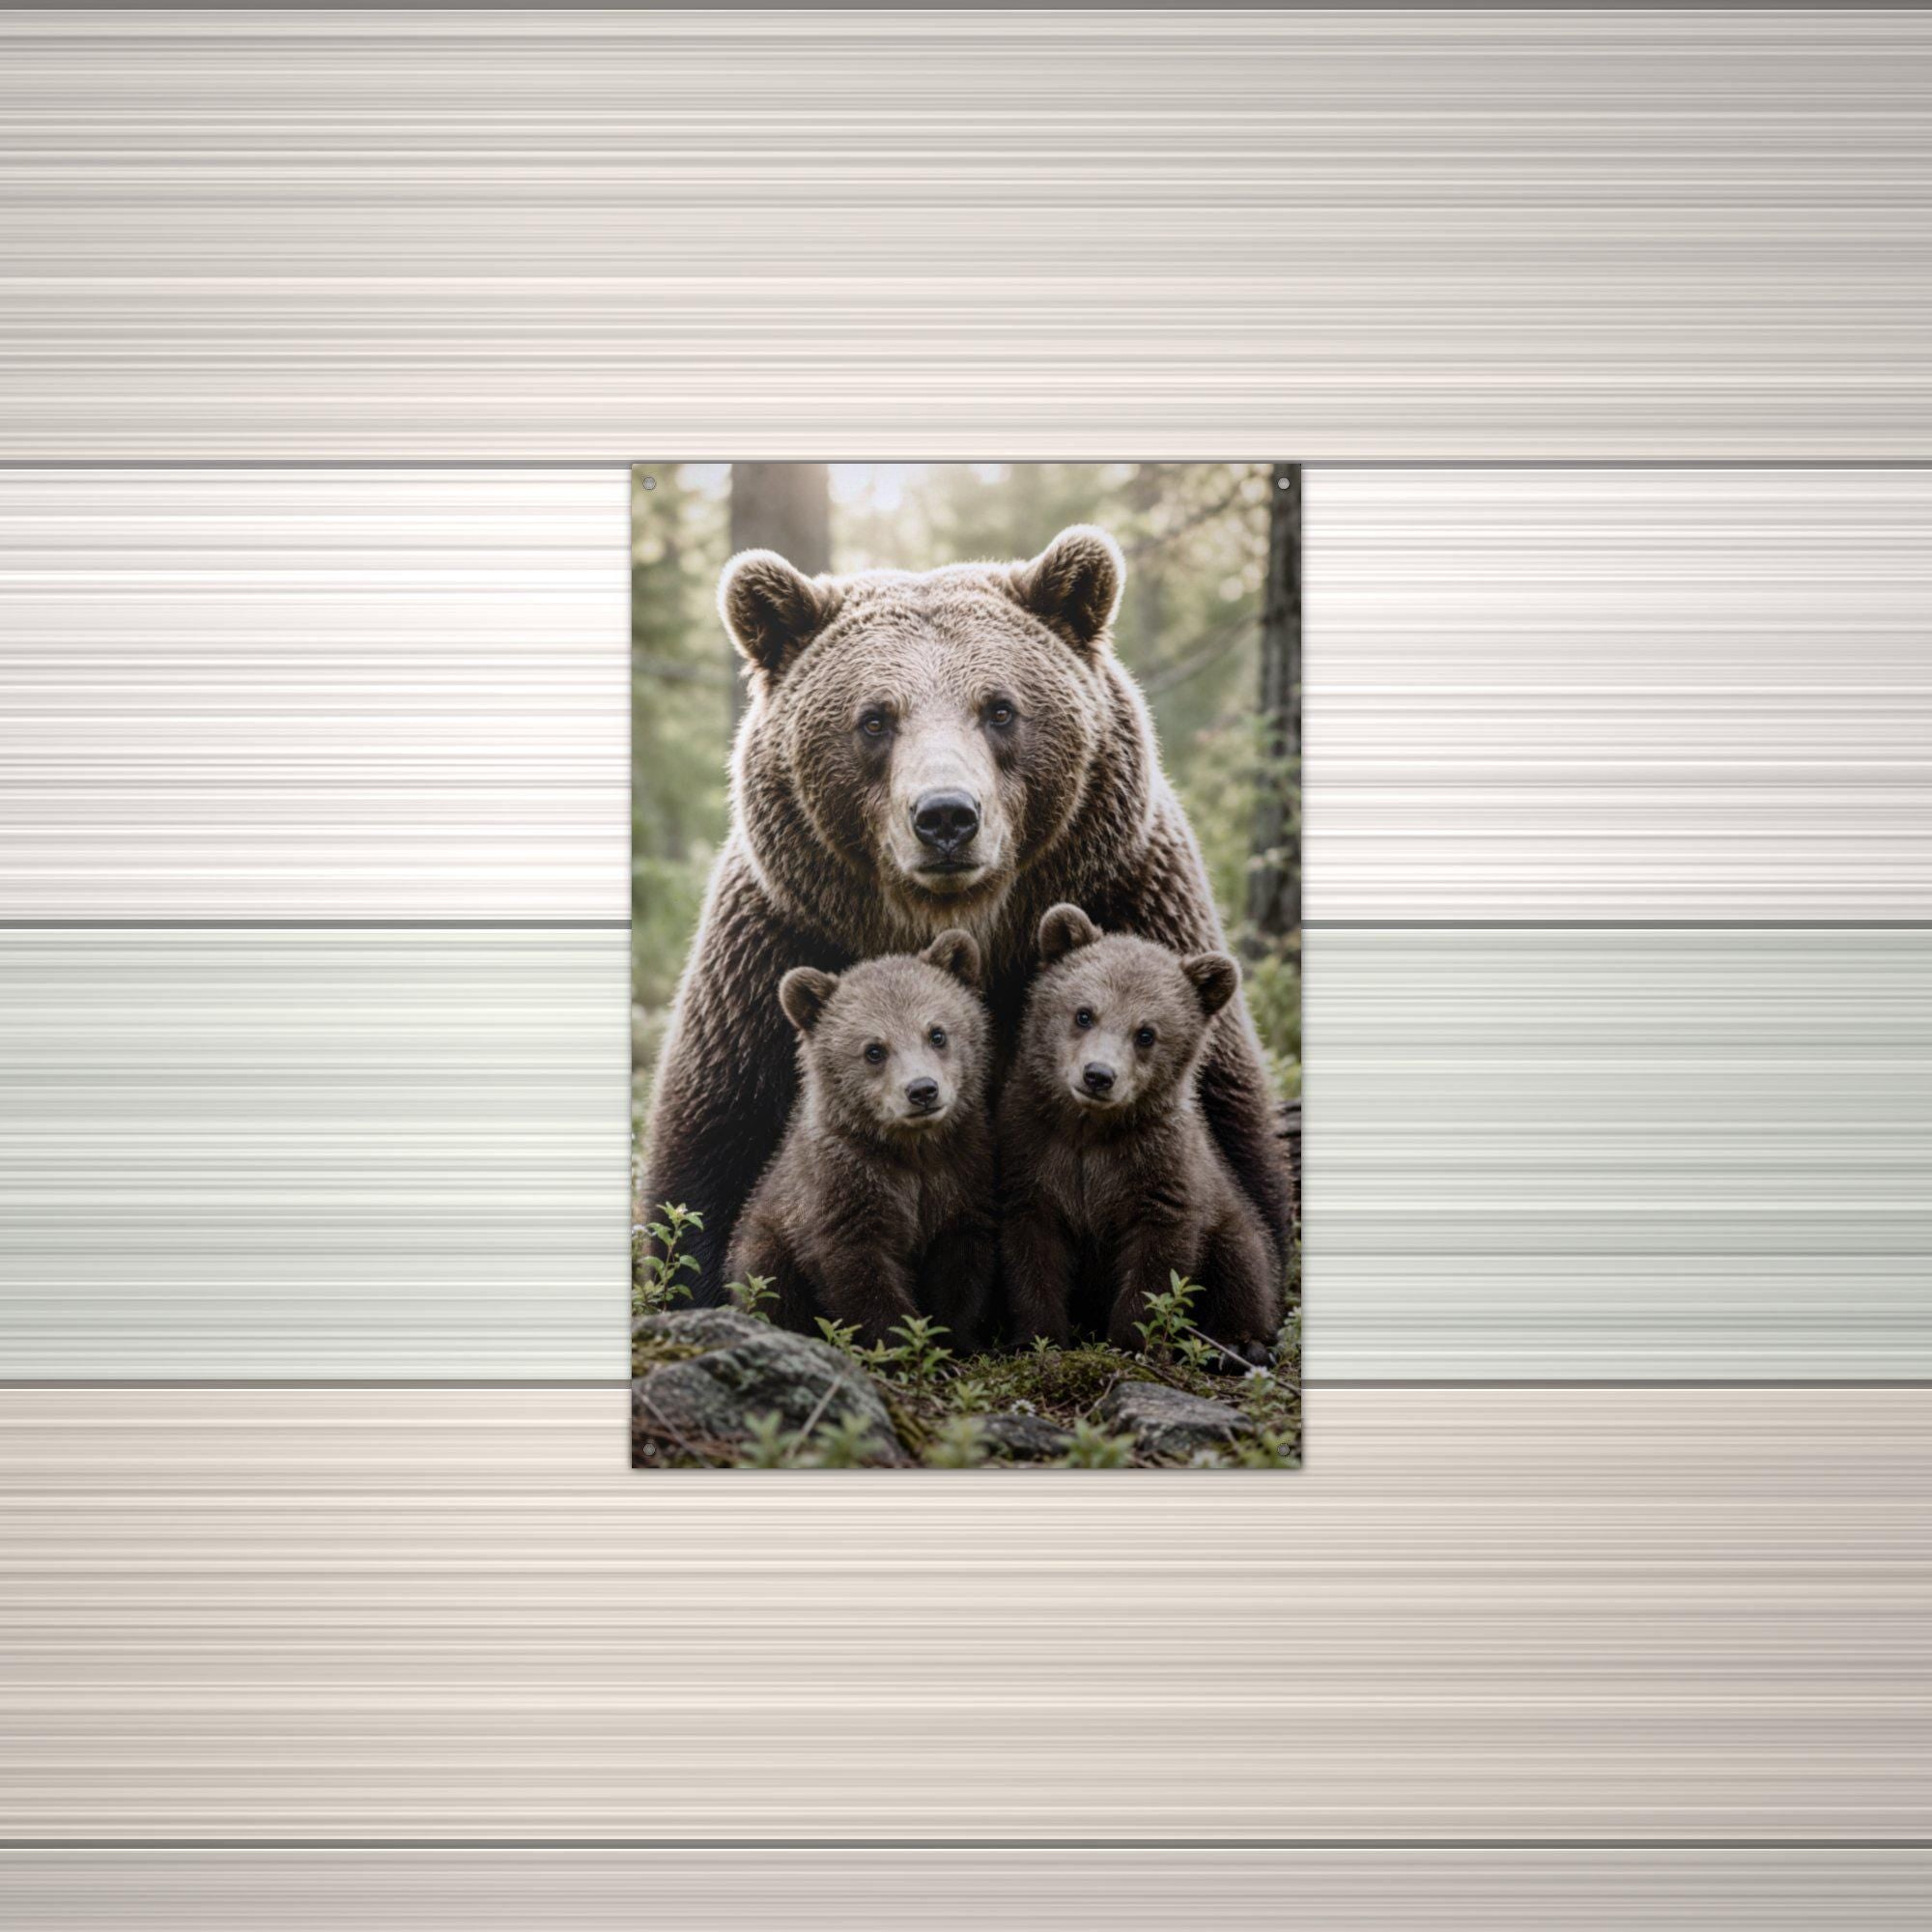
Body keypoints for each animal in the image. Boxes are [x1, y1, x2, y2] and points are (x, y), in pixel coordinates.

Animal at [638, 522, 1295, 1308]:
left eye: (1000, 708)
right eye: (874, 719)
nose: (946, 816)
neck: (964, 920)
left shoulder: (1137, 898)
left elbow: (1229, 1134)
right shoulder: (775, 946)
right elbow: (710, 1153)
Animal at [724, 930, 997, 1352]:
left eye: (937, 1033)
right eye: (874, 1050)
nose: (922, 1090)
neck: (913, 1150)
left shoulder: (962, 1174)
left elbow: (963, 1264)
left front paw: (958, 1340)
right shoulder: (843, 1186)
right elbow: (859, 1272)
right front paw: (904, 1344)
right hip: (766, 1241)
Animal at [998, 904, 1281, 1366]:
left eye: (1146, 1033)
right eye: (1084, 1013)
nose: (1098, 1075)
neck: (1090, 1131)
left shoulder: (1159, 1170)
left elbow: (1157, 1263)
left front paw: (1133, 1342)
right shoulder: (1033, 1154)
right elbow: (1031, 1252)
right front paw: (1036, 1338)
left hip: (1228, 1216)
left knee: (1243, 1262)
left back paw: (1239, 1343)